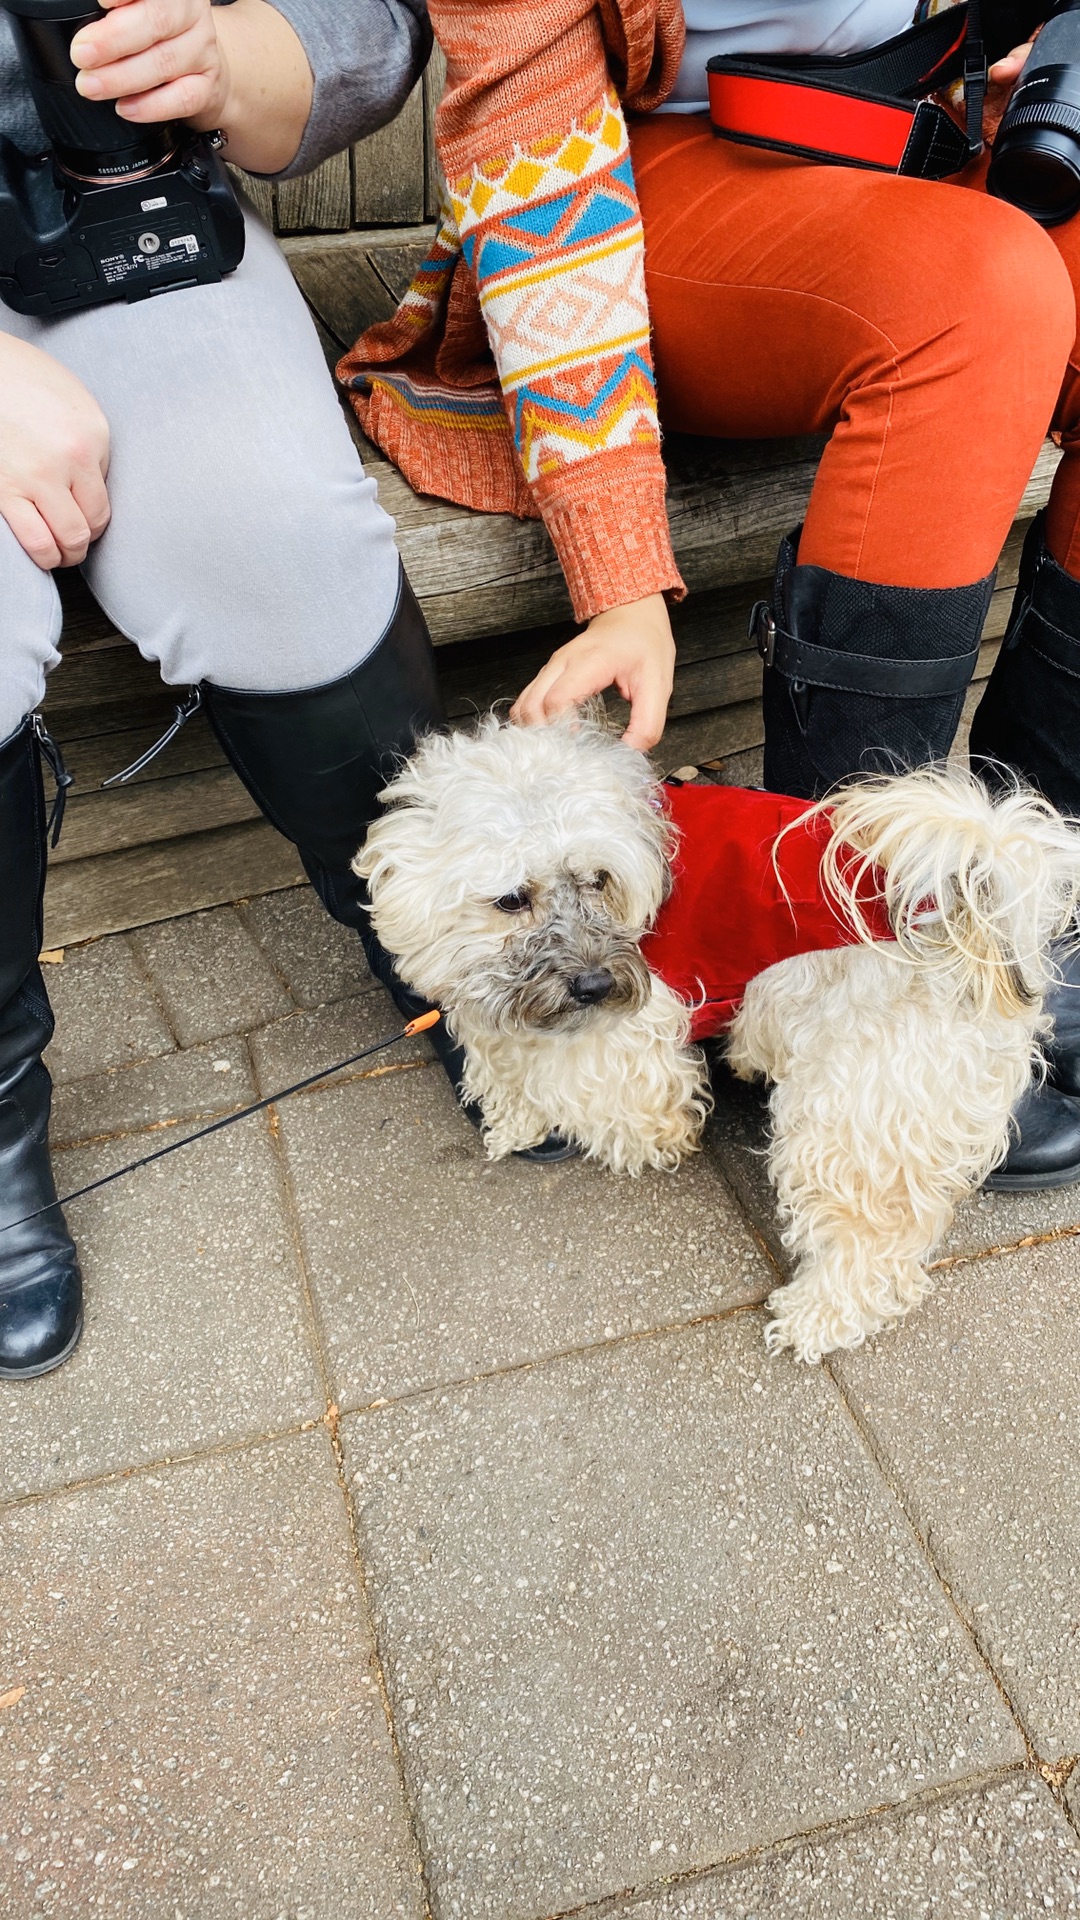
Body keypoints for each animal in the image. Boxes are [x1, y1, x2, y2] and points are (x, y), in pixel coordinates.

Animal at [357, 718, 1076, 1367]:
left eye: (598, 878)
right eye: (512, 899)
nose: (595, 984)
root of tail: (961, 900)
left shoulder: (632, 1034)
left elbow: (613, 1094)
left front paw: (634, 1140)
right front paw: (513, 1116)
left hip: (855, 1118)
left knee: (871, 1242)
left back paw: (817, 1317)